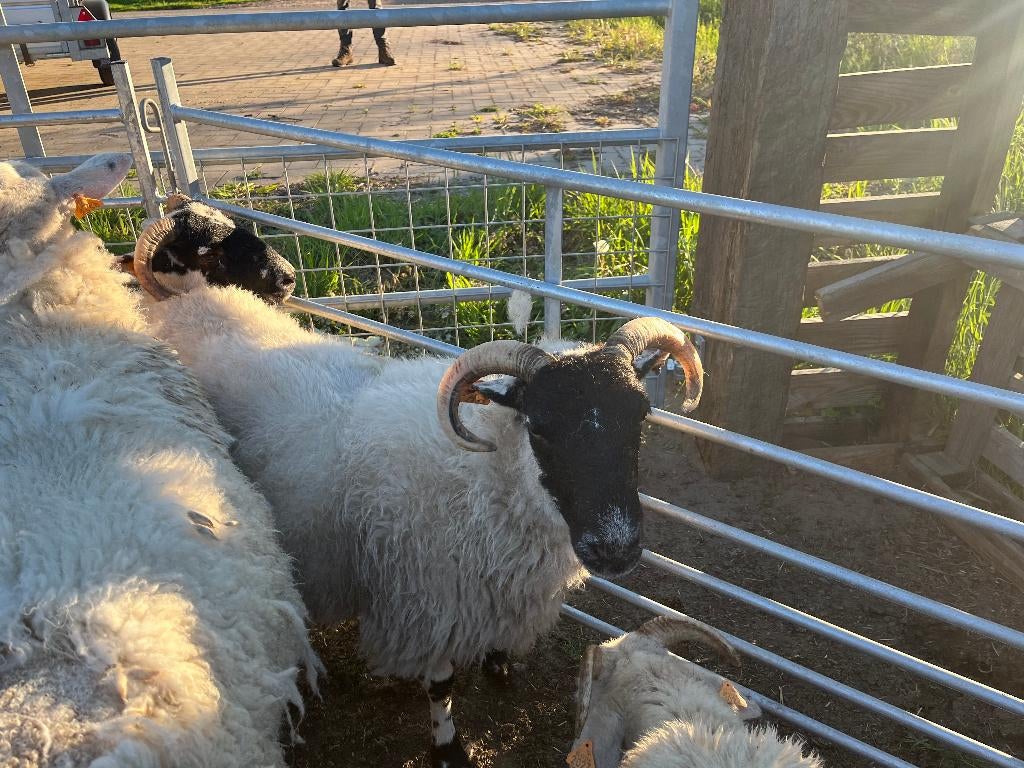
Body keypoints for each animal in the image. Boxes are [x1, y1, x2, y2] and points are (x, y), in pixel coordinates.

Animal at [130, 203, 705, 768]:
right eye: (539, 426)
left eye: (640, 416)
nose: (616, 547)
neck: (485, 479)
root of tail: (197, 301)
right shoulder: (427, 602)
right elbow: (441, 685)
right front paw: (448, 748)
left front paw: (498, 665)